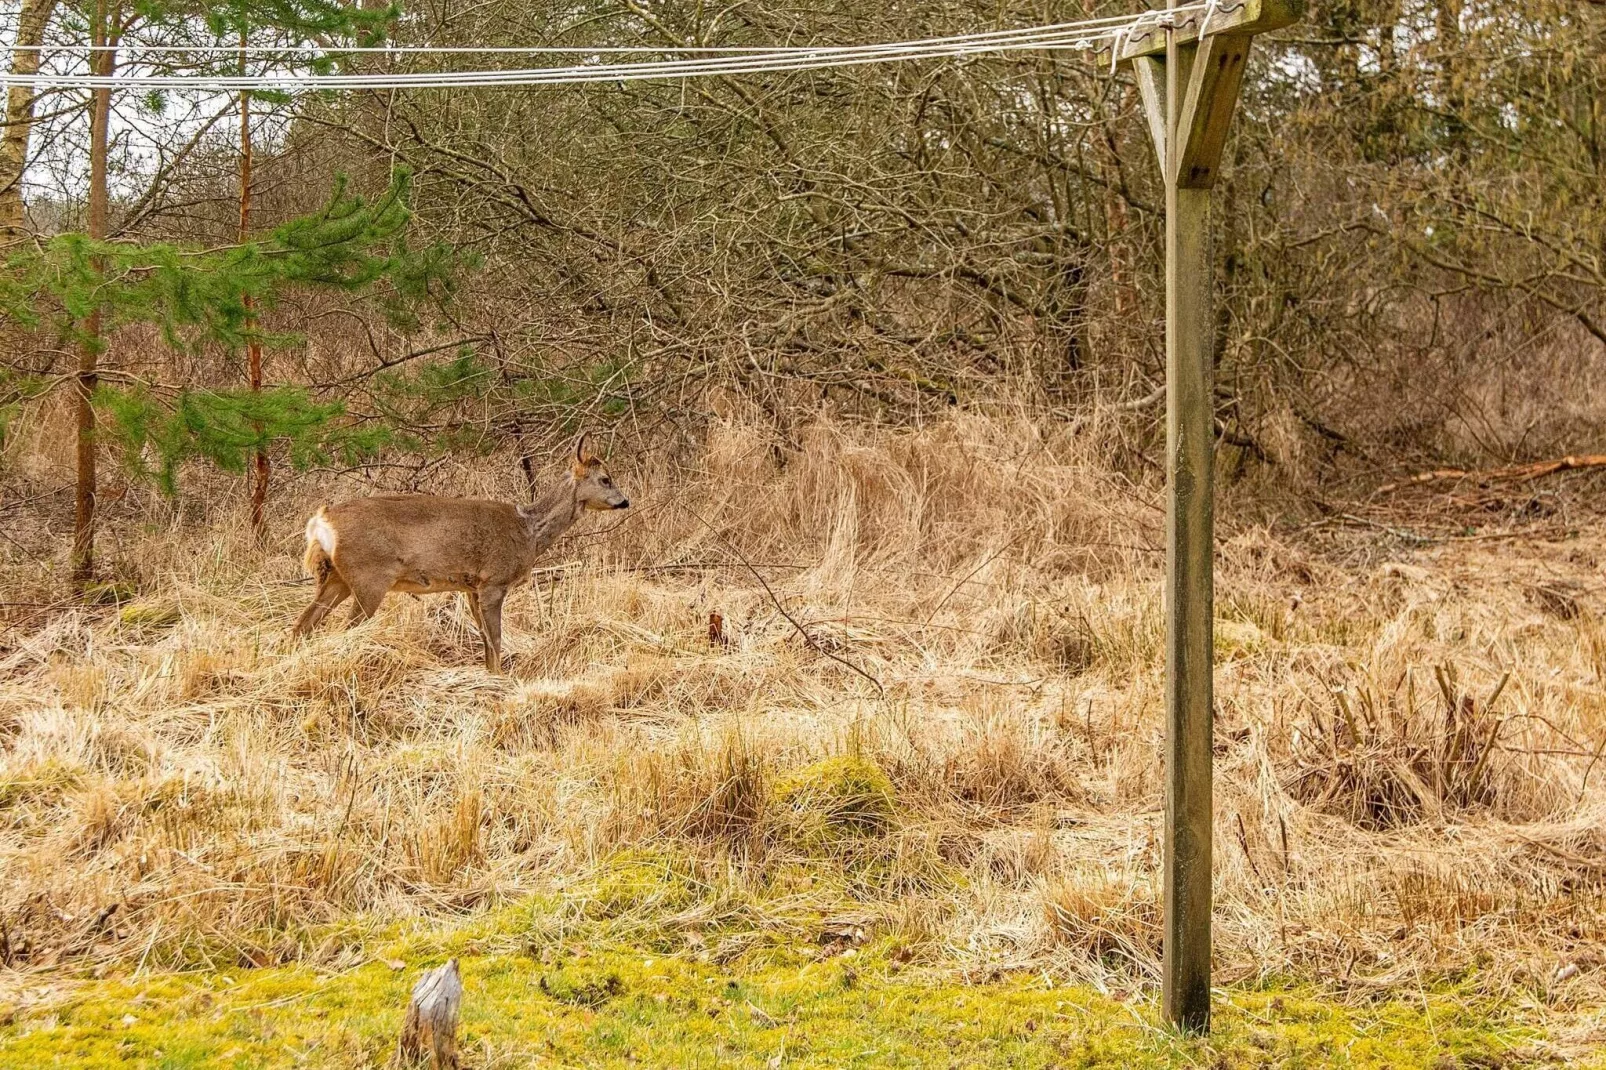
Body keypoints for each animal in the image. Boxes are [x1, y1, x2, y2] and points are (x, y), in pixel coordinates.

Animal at [293, 430, 626, 668]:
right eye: (605, 479)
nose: (625, 501)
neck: (529, 532)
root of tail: (321, 521)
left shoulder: (471, 588)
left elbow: (486, 642)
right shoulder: (494, 581)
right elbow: (496, 640)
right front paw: (500, 680)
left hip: (337, 577)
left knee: (302, 625)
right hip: (368, 578)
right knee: (343, 630)